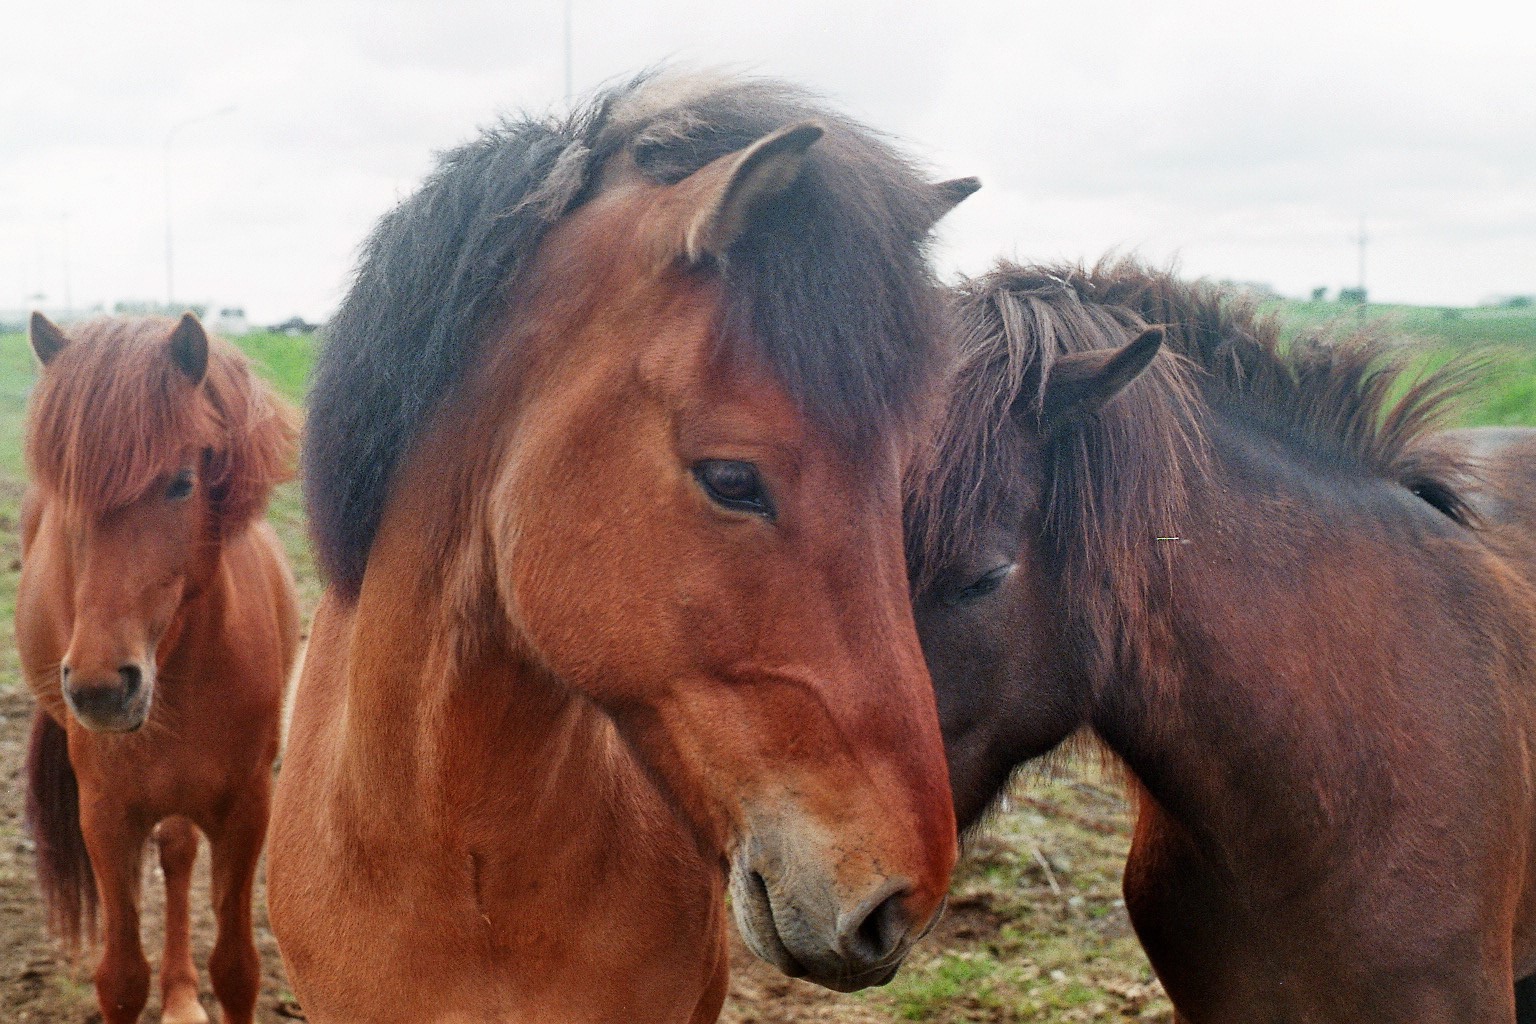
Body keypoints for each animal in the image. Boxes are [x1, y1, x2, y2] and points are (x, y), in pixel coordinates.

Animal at [18, 313, 299, 1024]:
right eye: (65, 495)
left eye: (181, 482)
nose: (100, 689)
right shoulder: (107, 816)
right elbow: (120, 977)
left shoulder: (247, 810)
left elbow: (236, 968)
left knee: (177, 852)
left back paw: (181, 995)